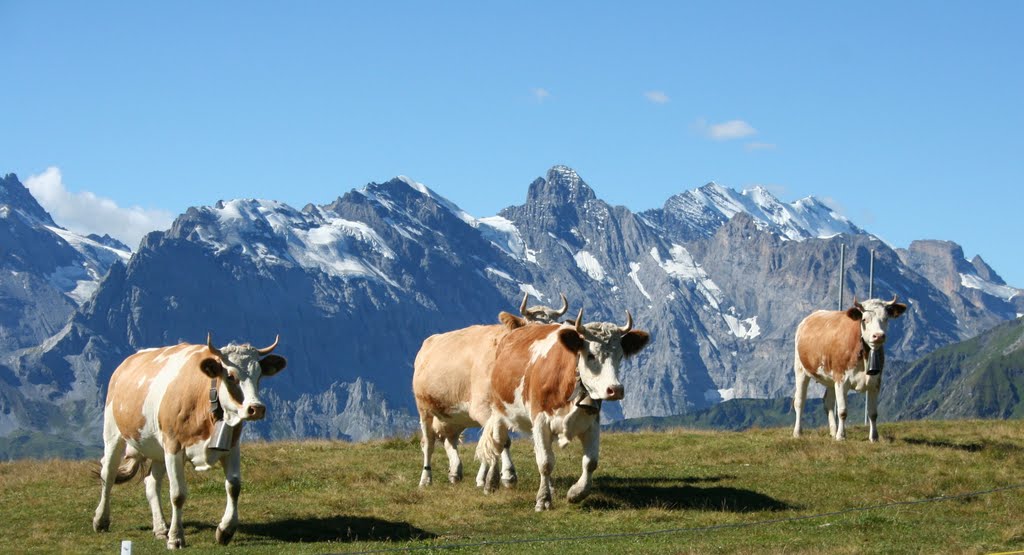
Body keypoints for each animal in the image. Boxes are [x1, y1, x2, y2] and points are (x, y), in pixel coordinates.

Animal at [92, 337, 286, 548]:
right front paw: (176, 538)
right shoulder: (173, 446)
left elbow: (234, 486)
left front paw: (225, 530)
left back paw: (160, 528)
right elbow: (178, 494)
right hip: (113, 432)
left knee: (151, 482)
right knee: (108, 473)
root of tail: (126, 363)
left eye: (259, 375)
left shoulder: (232, 446)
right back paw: (101, 520)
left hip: (157, 448)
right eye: (230, 376)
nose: (256, 408)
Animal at [411, 292, 569, 489]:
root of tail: (429, 342)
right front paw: (507, 475)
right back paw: (425, 479)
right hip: (424, 408)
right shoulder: (483, 409)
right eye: (532, 328)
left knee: (450, 440)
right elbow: (501, 441)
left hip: (455, 415)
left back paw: (455, 472)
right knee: (428, 443)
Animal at [477, 311, 647, 511]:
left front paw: (576, 493)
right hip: (499, 411)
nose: (615, 389)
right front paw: (543, 500)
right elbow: (545, 462)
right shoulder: (540, 420)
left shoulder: (592, 422)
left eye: (620, 356)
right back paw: (492, 481)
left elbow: (590, 462)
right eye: (590, 355)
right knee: (499, 443)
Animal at [790, 294, 913, 444]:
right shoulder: (841, 379)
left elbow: (873, 413)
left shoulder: (875, 382)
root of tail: (810, 317)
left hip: (830, 377)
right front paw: (841, 436)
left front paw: (874, 437)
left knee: (828, 402)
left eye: (886, 318)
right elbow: (842, 411)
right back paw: (798, 432)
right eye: (864, 319)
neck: (864, 354)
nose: (878, 336)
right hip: (801, 369)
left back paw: (832, 431)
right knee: (799, 401)